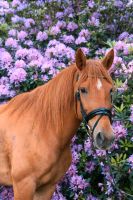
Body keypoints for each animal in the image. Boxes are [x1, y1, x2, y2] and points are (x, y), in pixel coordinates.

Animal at [0, 47, 114, 199]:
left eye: (111, 90)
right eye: (83, 89)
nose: (106, 137)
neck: (42, 130)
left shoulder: (47, 187)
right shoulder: (23, 185)